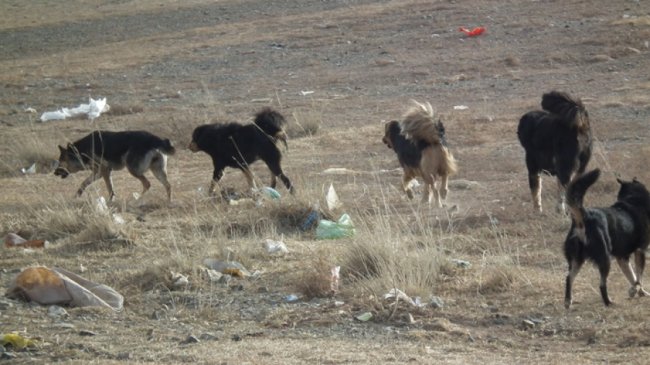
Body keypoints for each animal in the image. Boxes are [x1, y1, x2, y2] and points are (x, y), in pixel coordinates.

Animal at [560, 168, 648, 308]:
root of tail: (584, 217)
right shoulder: (640, 250)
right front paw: (636, 290)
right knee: (602, 284)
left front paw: (638, 292)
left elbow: (632, 276)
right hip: (604, 258)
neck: (632, 199)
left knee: (569, 278)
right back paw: (609, 302)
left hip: (577, 259)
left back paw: (568, 301)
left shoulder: (622, 257)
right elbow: (638, 276)